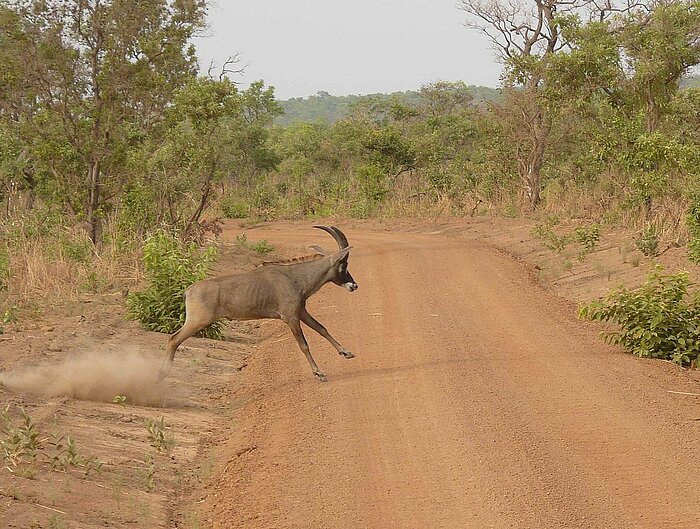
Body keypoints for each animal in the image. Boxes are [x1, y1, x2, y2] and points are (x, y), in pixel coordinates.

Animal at [157, 225, 358, 382]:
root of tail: (189, 291)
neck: (295, 277)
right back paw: (161, 374)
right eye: (344, 265)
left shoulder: (301, 312)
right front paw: (319, 373)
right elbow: (304, 345)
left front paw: (346, 352)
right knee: (173, 339)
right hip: (197, 321)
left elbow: (322, 328)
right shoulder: (290, 318)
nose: (354, 285)